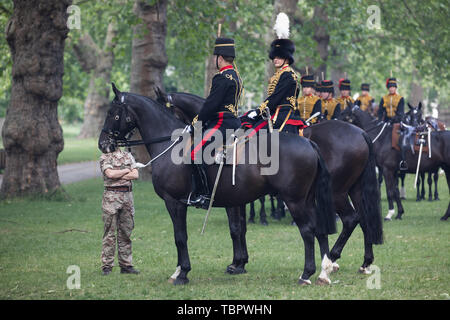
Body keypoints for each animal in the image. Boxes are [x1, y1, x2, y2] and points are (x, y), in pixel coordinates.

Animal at [98, 84, 338, 284]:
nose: (103, 144)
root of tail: (308, 142)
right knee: (319, 229)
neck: (171, 146)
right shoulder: (231, 201)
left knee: (307, 231)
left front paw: (183, 273)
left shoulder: (175, 202)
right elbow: (235, 229)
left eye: (113, 113)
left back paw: (306, 274)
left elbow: (181, 237)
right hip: (307, 200)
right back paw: (324, 272)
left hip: (294, 200)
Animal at [156, 90, 384, 276]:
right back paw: (364, 262)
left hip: (336, 192)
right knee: (364, 218)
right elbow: (240, 227)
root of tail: (360, 132)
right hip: (353, 189)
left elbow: (236, 228)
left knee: (350, 219)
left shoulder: (232, 197)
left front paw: (237, 263)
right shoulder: (238, 196)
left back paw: (332, 258)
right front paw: (240, 262)